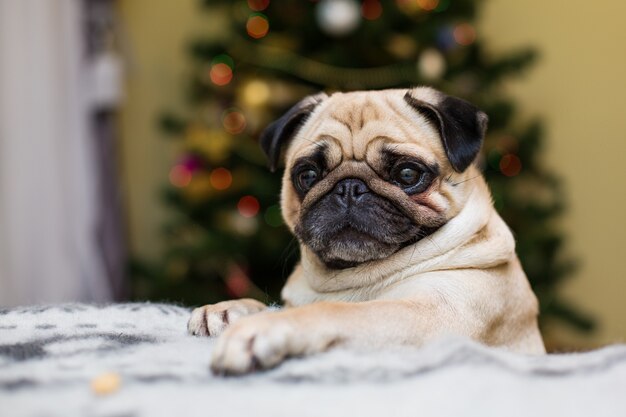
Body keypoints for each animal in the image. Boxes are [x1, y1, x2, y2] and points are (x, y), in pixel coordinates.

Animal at [188, 87, 544, 374]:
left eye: (407, 174)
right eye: (307, 175)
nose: (349, 187)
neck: (354, 276)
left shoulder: (434, 314)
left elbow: (335, 311)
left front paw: (264, 329)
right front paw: (226, 309)